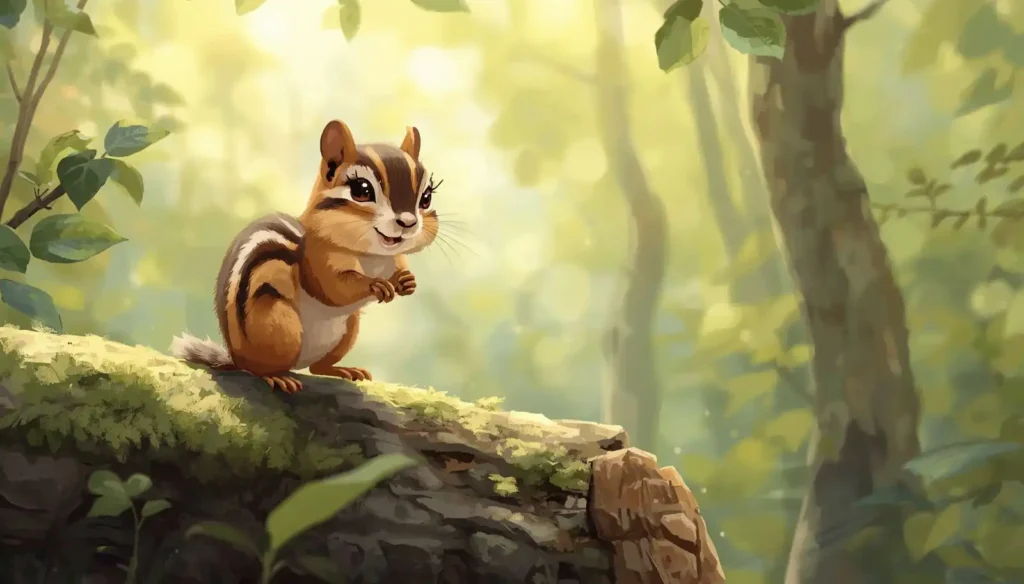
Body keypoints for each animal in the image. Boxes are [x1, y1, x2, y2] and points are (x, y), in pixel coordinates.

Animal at [170, 120, 441, 394]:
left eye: (427, 196)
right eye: (361, 191)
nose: (408, 223)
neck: (373, 255)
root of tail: (235, 356)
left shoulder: (395, 258)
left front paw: (407, 281)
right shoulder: (317, 261)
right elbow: (332, 289)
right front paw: (375, 284)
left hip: (349, 328)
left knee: (317, 368)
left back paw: (343, 370)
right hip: (278, 323)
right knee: (257, 368)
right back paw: (275, 376)